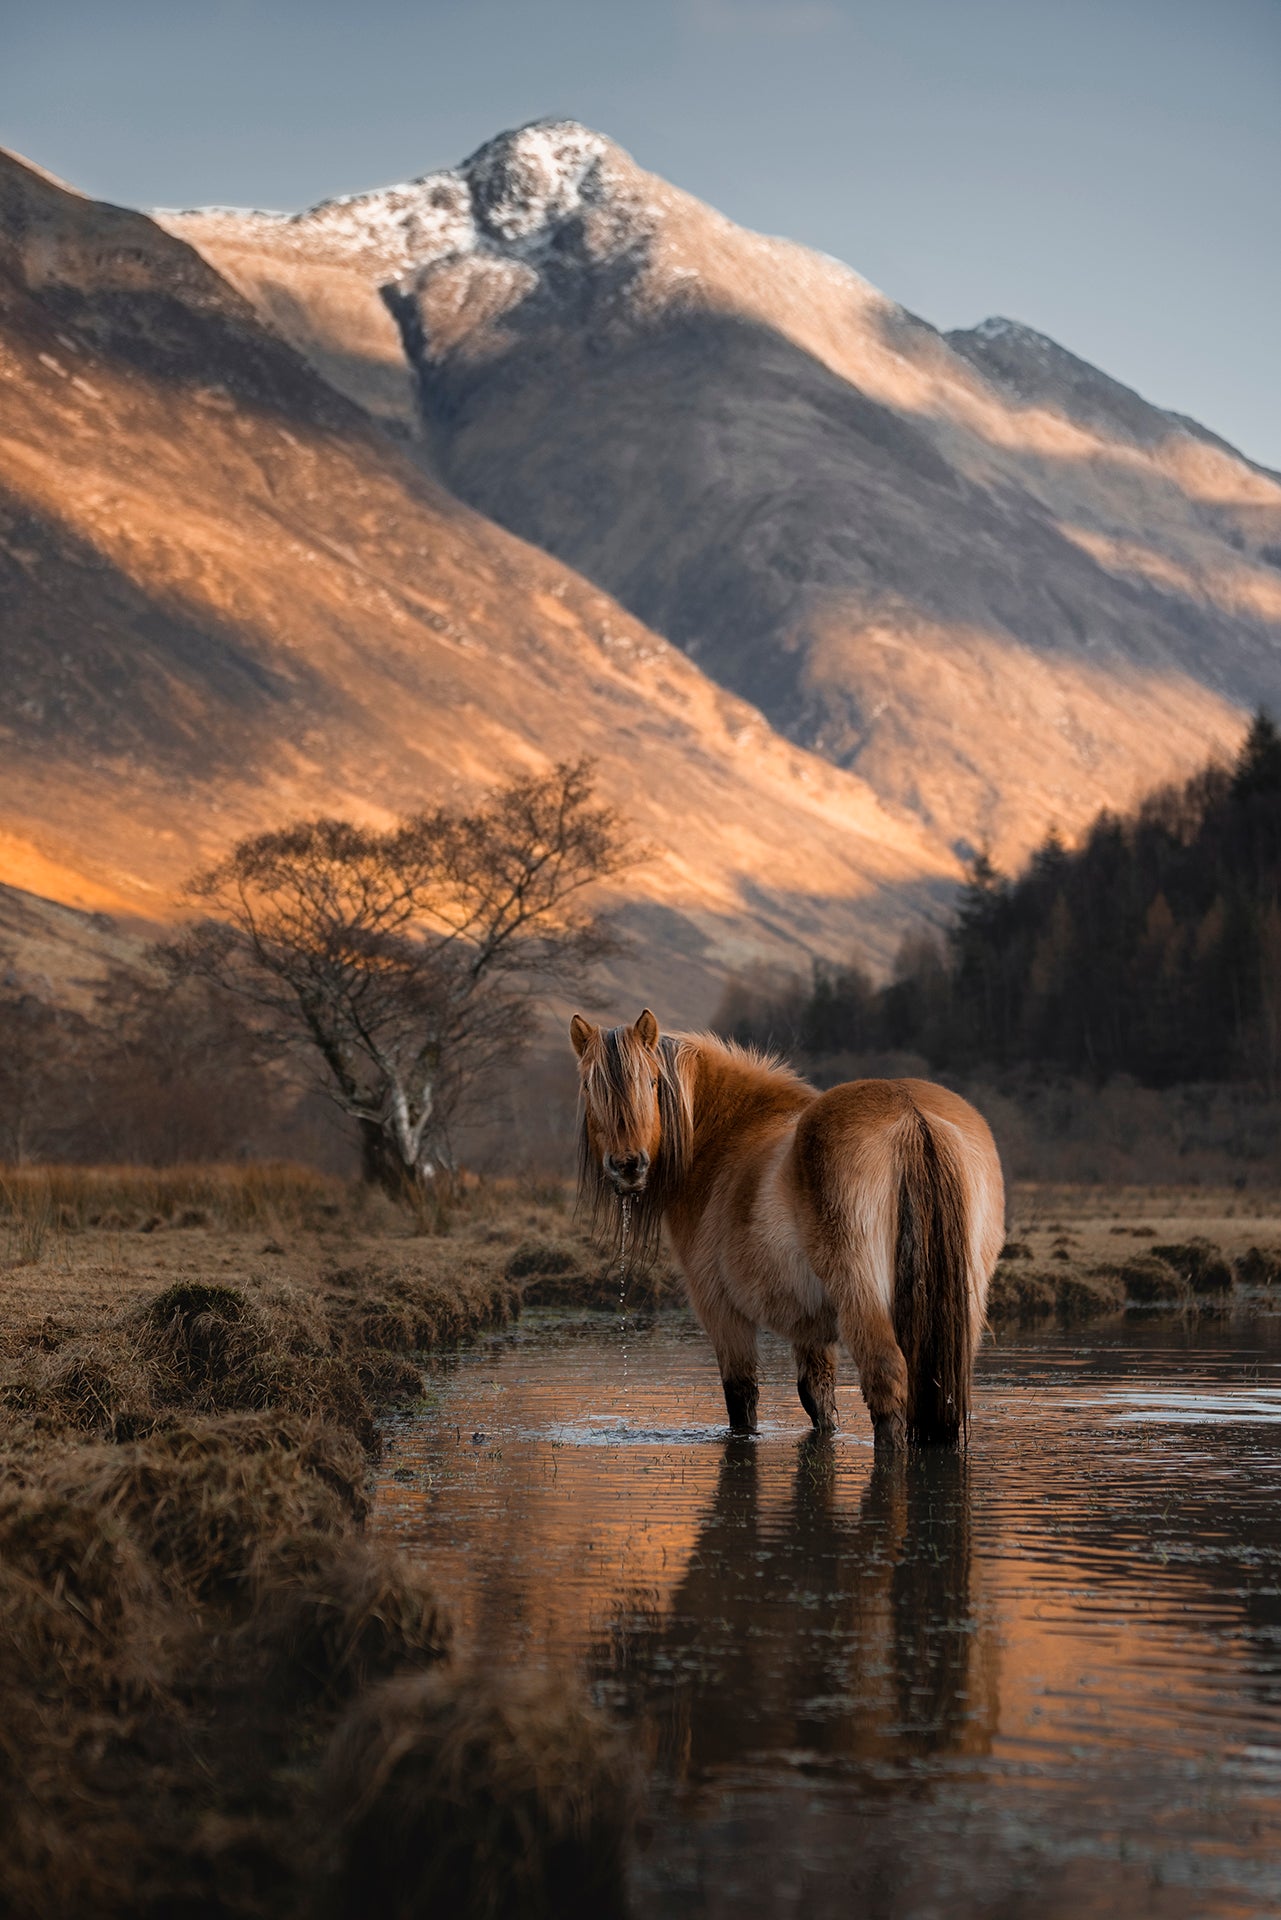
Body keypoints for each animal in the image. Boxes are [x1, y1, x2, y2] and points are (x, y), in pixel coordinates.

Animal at [571, 1008, 1005, 1447]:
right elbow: (817, 1397)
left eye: (653, 1081)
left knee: (886, 1381)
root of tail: (910, 1114)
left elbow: (741, 1400)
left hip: (861, 1299)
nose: (628, 1166)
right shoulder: (809, 1329)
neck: (726, 1136)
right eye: (589, 1086)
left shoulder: (722, 1313)